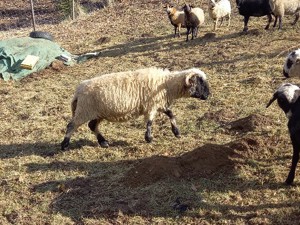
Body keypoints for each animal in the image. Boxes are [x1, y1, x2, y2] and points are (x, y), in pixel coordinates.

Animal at [61, 67, 210, 149]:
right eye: (200, 82)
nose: (208, 95)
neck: (167, 84)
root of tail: (78, 91)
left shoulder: (158, 103)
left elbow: (171, 114)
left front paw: (176, 132)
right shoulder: (151, 105)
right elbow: (149, 122)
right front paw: (149, 138)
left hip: (97, 112)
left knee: (92, 125)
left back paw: (103, 142)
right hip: (84, 110)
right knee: (71, 125)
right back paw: (64, 145)